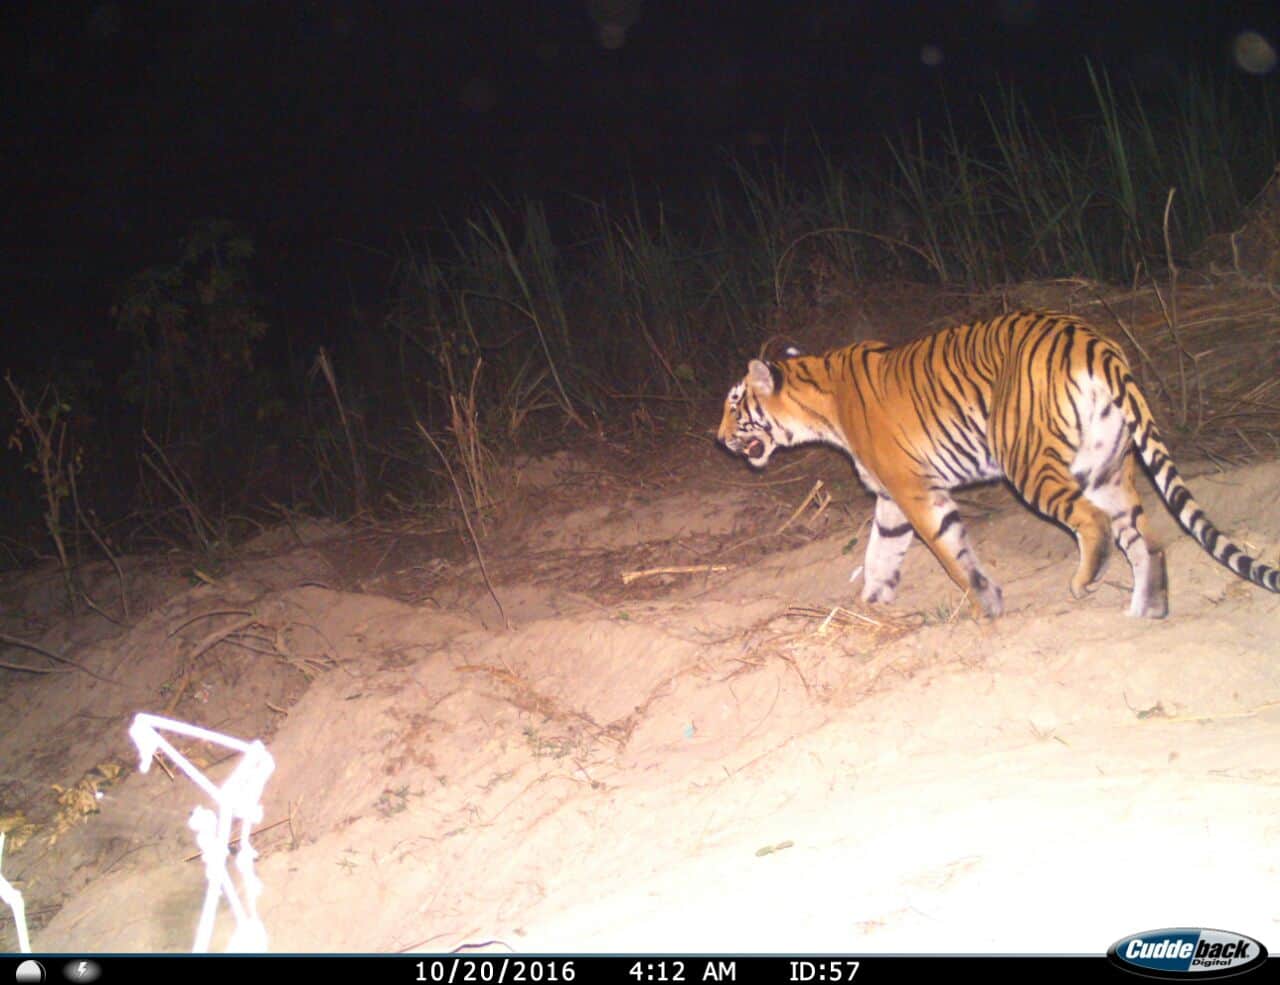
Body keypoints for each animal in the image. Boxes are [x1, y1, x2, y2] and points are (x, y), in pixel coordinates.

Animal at [718, 310, 1280, 618]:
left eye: (733, 405)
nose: (718, 438)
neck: (821, 400)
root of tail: (1094, 341)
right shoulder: (890, 500)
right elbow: (882, 552)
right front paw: (871, 602)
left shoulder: (914, 491)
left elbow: (950, 553)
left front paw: (983, 604)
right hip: (1106, 466)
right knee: (1147, 541)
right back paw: (1146, 611)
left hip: (1027, 460)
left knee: (1092, 522)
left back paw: (1084, 584)